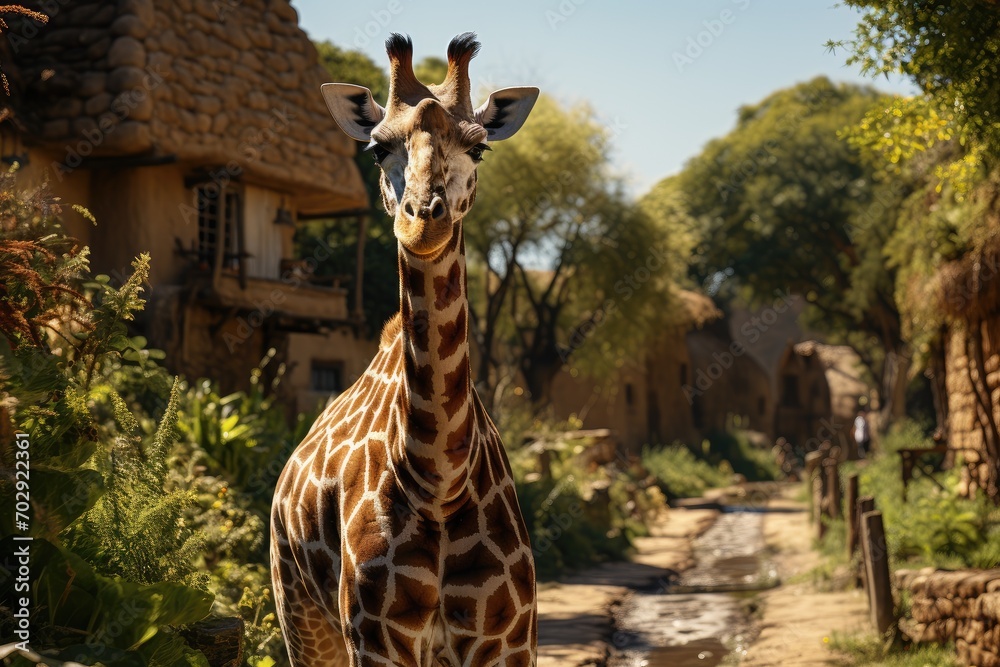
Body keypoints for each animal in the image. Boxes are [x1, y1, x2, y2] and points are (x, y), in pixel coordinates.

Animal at [270, 33, 540, 667]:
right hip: (301, 617)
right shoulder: (376, 639)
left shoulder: (508, 641)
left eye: (479, 148)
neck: (438, 478)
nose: (423, 223)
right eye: (376, 149)